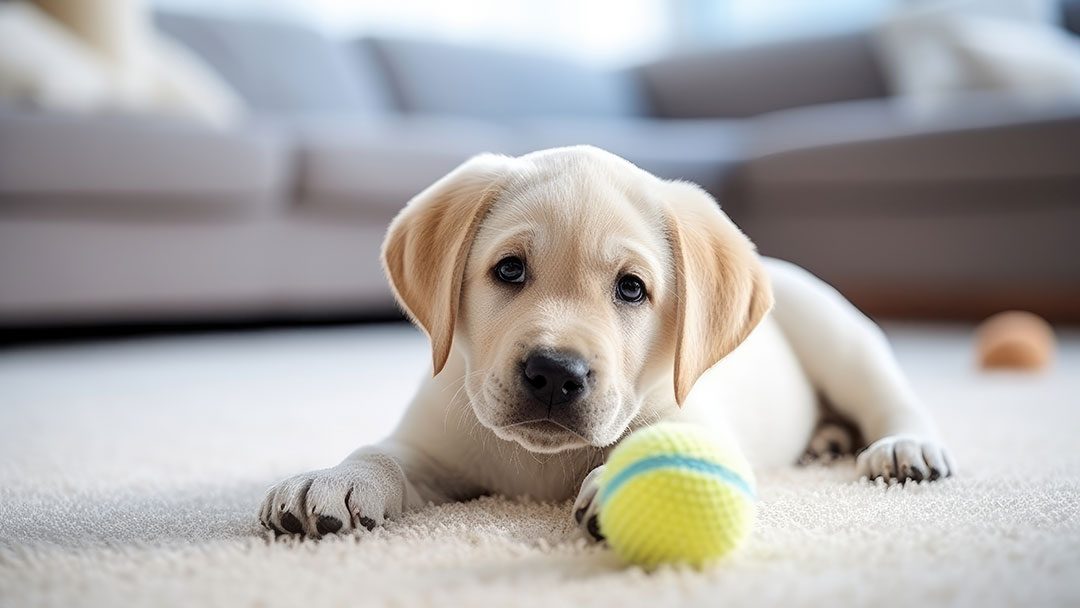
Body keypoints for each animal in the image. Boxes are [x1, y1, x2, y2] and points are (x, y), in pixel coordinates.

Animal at [259, 145, 954, 537]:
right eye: (509, 270)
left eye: (631, 288)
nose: (553, 372)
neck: (539, 462)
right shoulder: (431, 445)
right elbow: (381, 453)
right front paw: (336, 479)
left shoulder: (698, 422)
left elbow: (662, 440)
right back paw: (824, 442)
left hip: (838, 334)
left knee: (889, 398)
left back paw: (904, 448)